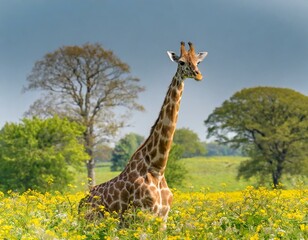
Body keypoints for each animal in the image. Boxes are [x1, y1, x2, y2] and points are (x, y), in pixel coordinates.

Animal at [80, 41, 208, 223]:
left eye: (198, 62)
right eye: (182, 62)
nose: (198, 75)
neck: (158, 168)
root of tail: (81, 202)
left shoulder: (163, 217)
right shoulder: (143, 216)